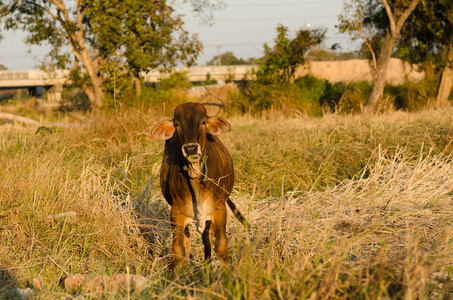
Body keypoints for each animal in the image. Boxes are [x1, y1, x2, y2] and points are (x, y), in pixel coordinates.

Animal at [150, 102, 245, 268]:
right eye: (177, 124)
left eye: (203, 122)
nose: (190, 148)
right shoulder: (176, 214)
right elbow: (178, 252)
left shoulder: (220, 210)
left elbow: (221, 248)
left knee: (207, 238)